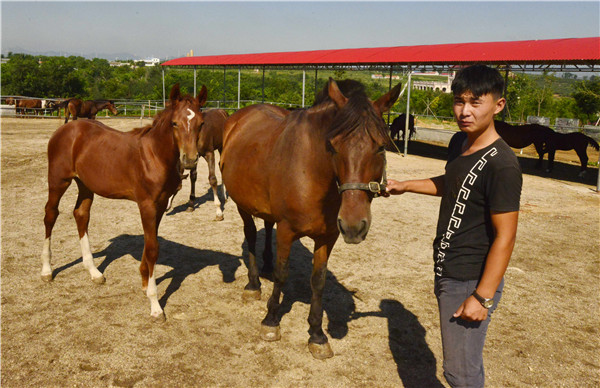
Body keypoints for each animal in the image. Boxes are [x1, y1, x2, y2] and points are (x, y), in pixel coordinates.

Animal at [40, 83, 209, 320]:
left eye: (201, 123)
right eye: (174, 123)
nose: (190, 160)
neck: (155, 155)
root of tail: (64, 130)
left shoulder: (160, 206)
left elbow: (149, 244)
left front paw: (145, 283)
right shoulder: (147, 205)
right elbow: (153, 248)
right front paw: (155, 304)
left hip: (86, 185)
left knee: (81, 215)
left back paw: (94, 272)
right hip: (58, 180)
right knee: (50, 214)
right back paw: (47, 270)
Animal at [221, 79, 404, 360]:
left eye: (381, 146)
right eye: (333, 146)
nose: (354, 225)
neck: (311, 173)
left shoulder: (327, 237)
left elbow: (318, 281)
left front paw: (317, 335)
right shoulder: (287, 230)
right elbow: (282, 274)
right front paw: (271, 321)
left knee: (267, 226)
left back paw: (264, 267)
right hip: (242, 205)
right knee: (251, 235)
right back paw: (253, 285)